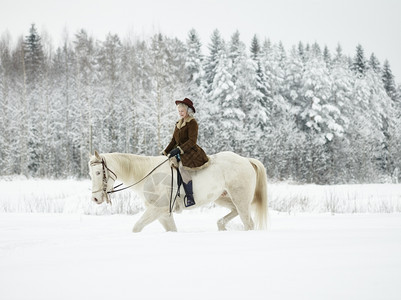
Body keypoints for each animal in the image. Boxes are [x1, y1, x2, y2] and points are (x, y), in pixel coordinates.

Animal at [89, 151, 268, 233]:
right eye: (91, 174)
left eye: (98, 172)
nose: (96, 199)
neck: (148, 175)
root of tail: (245, 160)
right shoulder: (163, 215)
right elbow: (172, 230)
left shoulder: (158, 210)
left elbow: (137, 227)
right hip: (222, 198)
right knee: (233, 212)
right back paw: (221, 226)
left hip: (240, 198)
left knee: (248, 223)